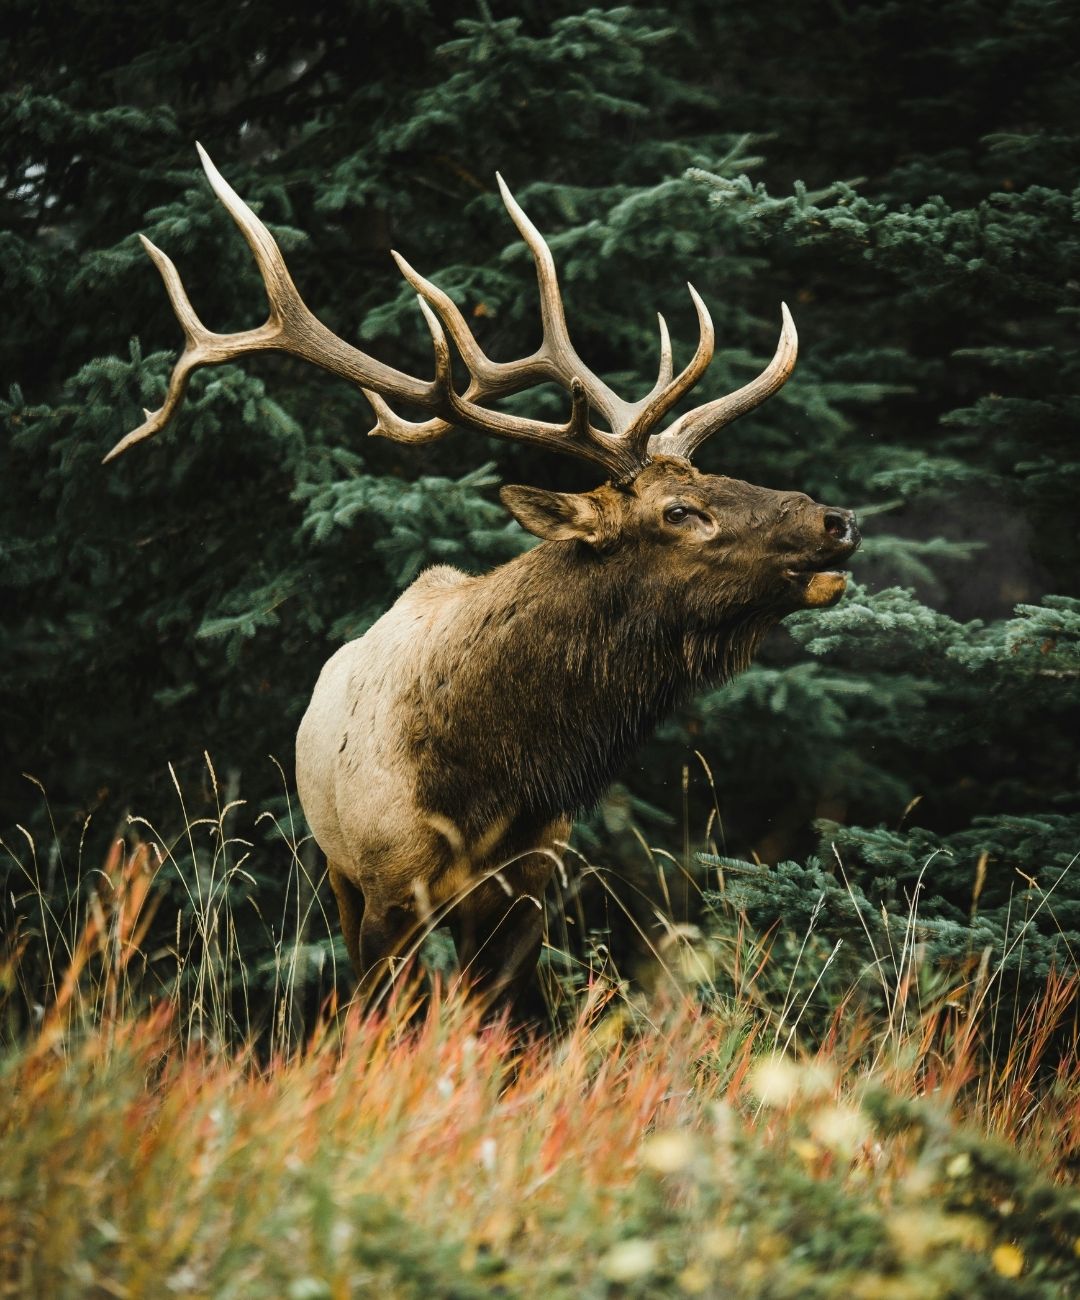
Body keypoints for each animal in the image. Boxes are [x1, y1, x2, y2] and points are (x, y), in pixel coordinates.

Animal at [106, 145, 860, 1016]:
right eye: (679, 510)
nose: (837, 520)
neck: (489, 781)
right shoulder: (386, 884)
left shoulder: (530, 886)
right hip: (335, 869)